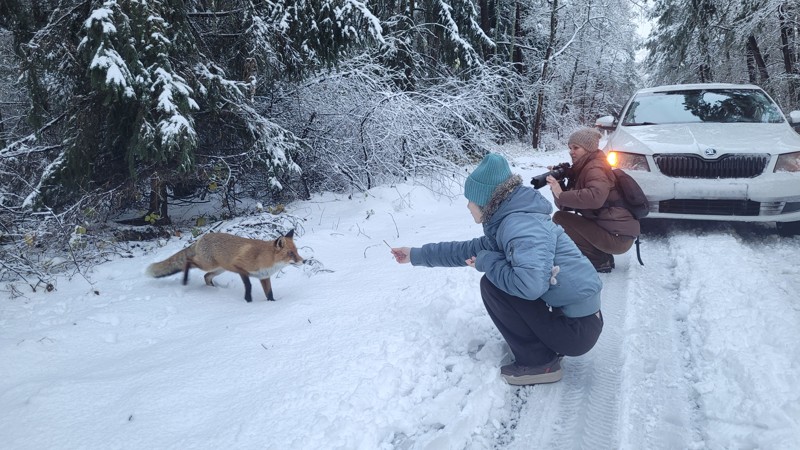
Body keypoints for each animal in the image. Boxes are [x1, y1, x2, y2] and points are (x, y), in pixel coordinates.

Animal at [145, 230, 304, 300]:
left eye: (296, 251)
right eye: (290, 253)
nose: (303, 261)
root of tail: (202, 237)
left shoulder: (264, 277)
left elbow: (269, 293)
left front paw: (272, 303)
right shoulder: (240, 268)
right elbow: (248, 285)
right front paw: (248, 300)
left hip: (218, 269)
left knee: (206, 277)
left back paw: (214, 290)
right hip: (207, 264)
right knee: (188, 261)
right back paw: (185, 280)